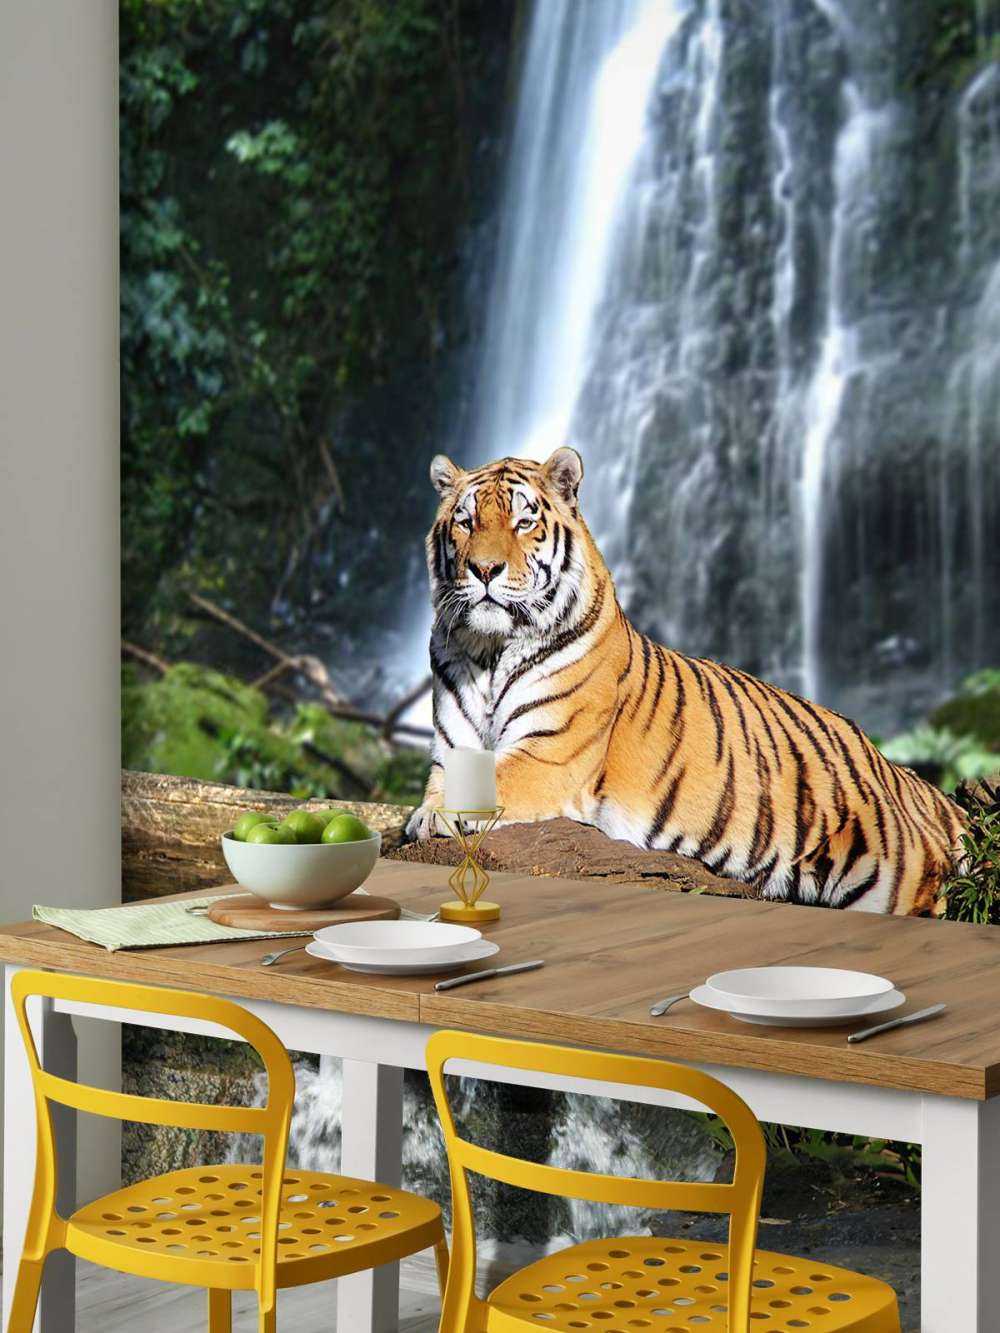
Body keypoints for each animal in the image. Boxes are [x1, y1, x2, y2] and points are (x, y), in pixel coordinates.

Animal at [406, 447, 965, 914]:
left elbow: (486, 782)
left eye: (524, 522)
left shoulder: (549, 754)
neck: (489, 649)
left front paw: (432, 817)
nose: (484, 570)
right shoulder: (453, 748)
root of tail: (903, 775)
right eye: (466, 522)